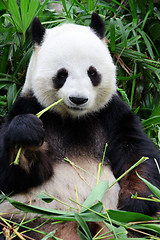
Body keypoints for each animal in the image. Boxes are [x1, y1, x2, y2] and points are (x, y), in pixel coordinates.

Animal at [0, 13, 159, 240]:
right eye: (62, 74)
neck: (74, 119)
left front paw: (135, 204)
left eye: (92, 72)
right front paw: (27, 135)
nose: (78, 99)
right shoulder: (30, 105)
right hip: (32, 217)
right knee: (16, 225)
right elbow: (13, 175)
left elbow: (137, 155)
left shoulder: (112, 113)